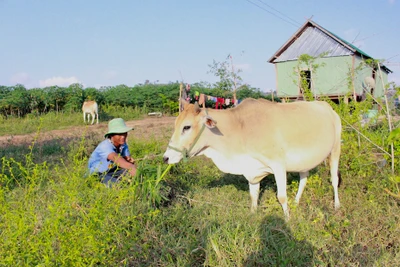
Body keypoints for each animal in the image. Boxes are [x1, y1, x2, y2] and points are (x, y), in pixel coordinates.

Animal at [162, 98, 340, 220]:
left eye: (186, 127)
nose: (166, 157)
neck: (240, 128)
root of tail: (327, 106)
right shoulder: (252, 170)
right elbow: (253, 195)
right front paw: (253, 214)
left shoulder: (278, 165)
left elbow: (281, 197)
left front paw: (287, 219)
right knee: (304, 178)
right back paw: (296, 202)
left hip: (335, 149)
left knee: (334, 179)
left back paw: (337, 204)